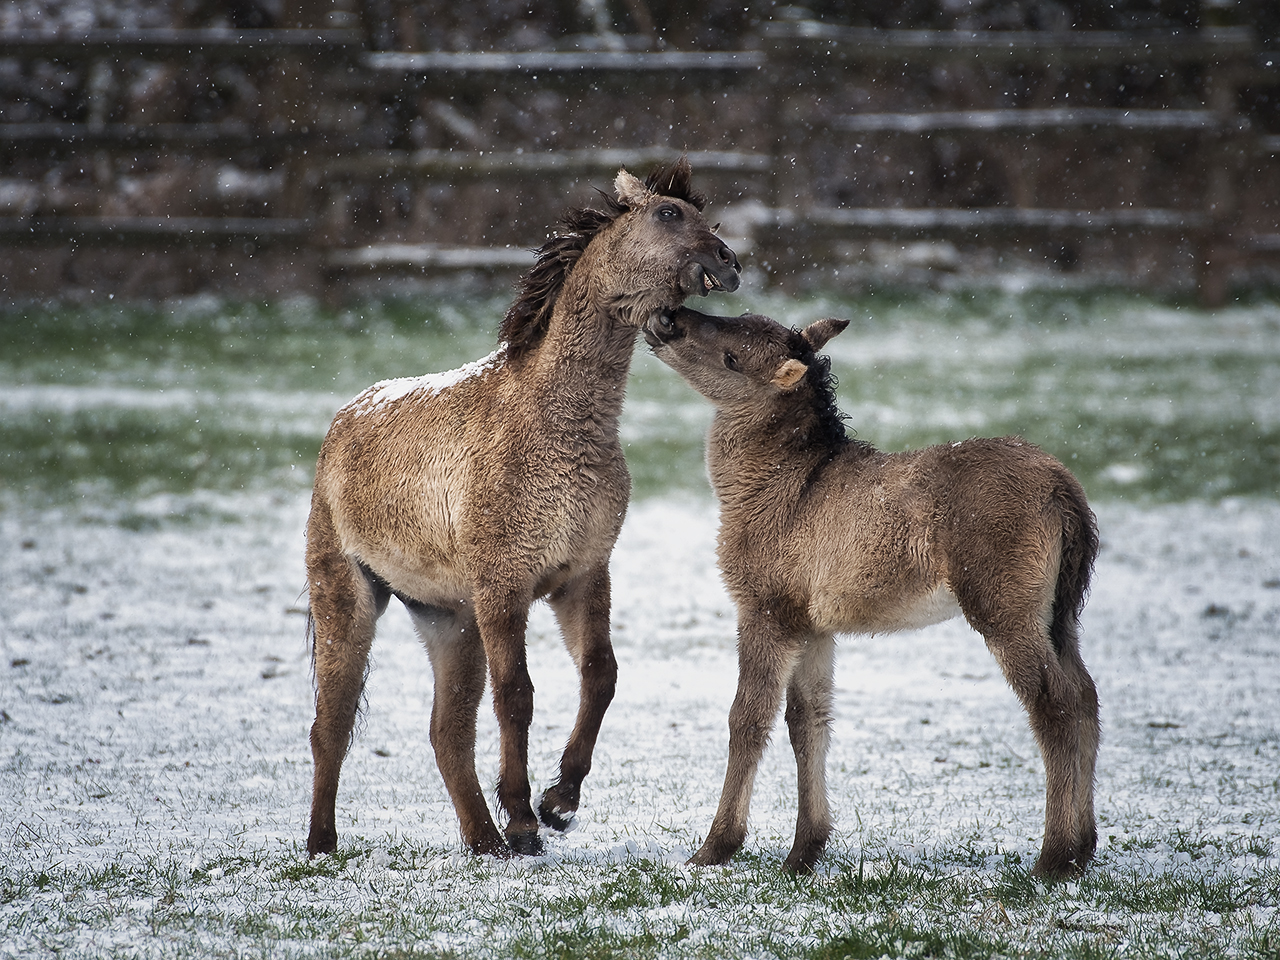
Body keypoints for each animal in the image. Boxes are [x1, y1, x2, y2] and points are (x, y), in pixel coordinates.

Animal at [304, 160, 742, 865]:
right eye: (669, 214)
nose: (729, 262)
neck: (554, 422)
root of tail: (342, 423)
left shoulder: (582, 577)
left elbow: (601, 676)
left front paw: (558, 801)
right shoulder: (503, 587)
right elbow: (518, 695)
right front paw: (525, 816)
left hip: (448, 622)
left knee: (447, 733)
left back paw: (483, 840)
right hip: (349, 598)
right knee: (333, 724)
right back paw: (323, 843)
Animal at [645, 305, 1105, 880]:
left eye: (732, 356)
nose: (667, 318)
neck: (772, 491)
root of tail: (1065, 493)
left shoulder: (766, 608)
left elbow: (747, 718)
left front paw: (714, 847)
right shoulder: (813, 623)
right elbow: (808, 720)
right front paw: (804, 851)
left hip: (1005, 606)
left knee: (1054, 703)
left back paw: (1054, 857)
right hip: (1060, 613)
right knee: (1085, 695)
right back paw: (1085, 846)